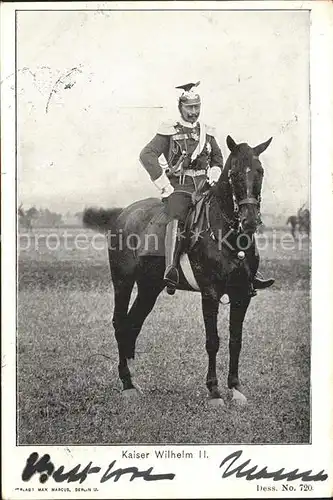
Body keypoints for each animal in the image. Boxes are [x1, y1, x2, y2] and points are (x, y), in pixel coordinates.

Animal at [83, 136, 272, 406]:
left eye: (260, 171)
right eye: (234, 173)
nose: (250, 221)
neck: (228, 235)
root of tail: (123, 214)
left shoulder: (242, 294)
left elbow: (236, 340)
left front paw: (235, 388)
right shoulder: (210, 293)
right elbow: (212, 341)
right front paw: (214, 391)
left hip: (150, 287)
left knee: (133, 323)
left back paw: (132, 379)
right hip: (123, 282)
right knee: (120, 323)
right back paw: (127, 384)